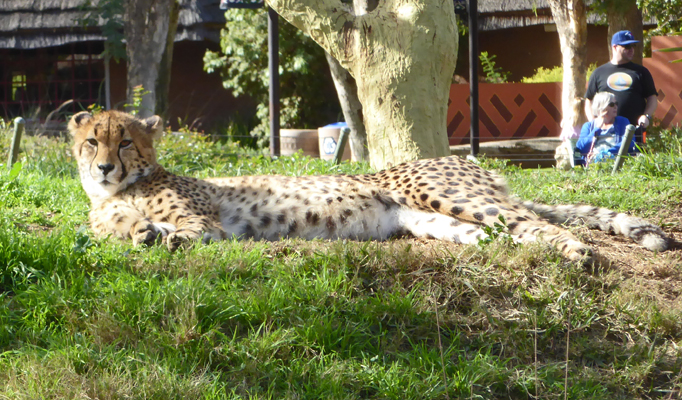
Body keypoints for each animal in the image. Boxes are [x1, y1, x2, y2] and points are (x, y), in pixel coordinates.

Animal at [69, 111, 664, 260]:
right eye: (91, 142)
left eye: (125, 143)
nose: (103, 168)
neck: (119, 192)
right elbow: (111, 232)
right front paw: (136, 232)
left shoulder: (208, 223)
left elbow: (188, 232)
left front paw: (161, 236)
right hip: (439, 222)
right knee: (511, 234)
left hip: (448, 195)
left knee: (536, 221)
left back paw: (576, 250)